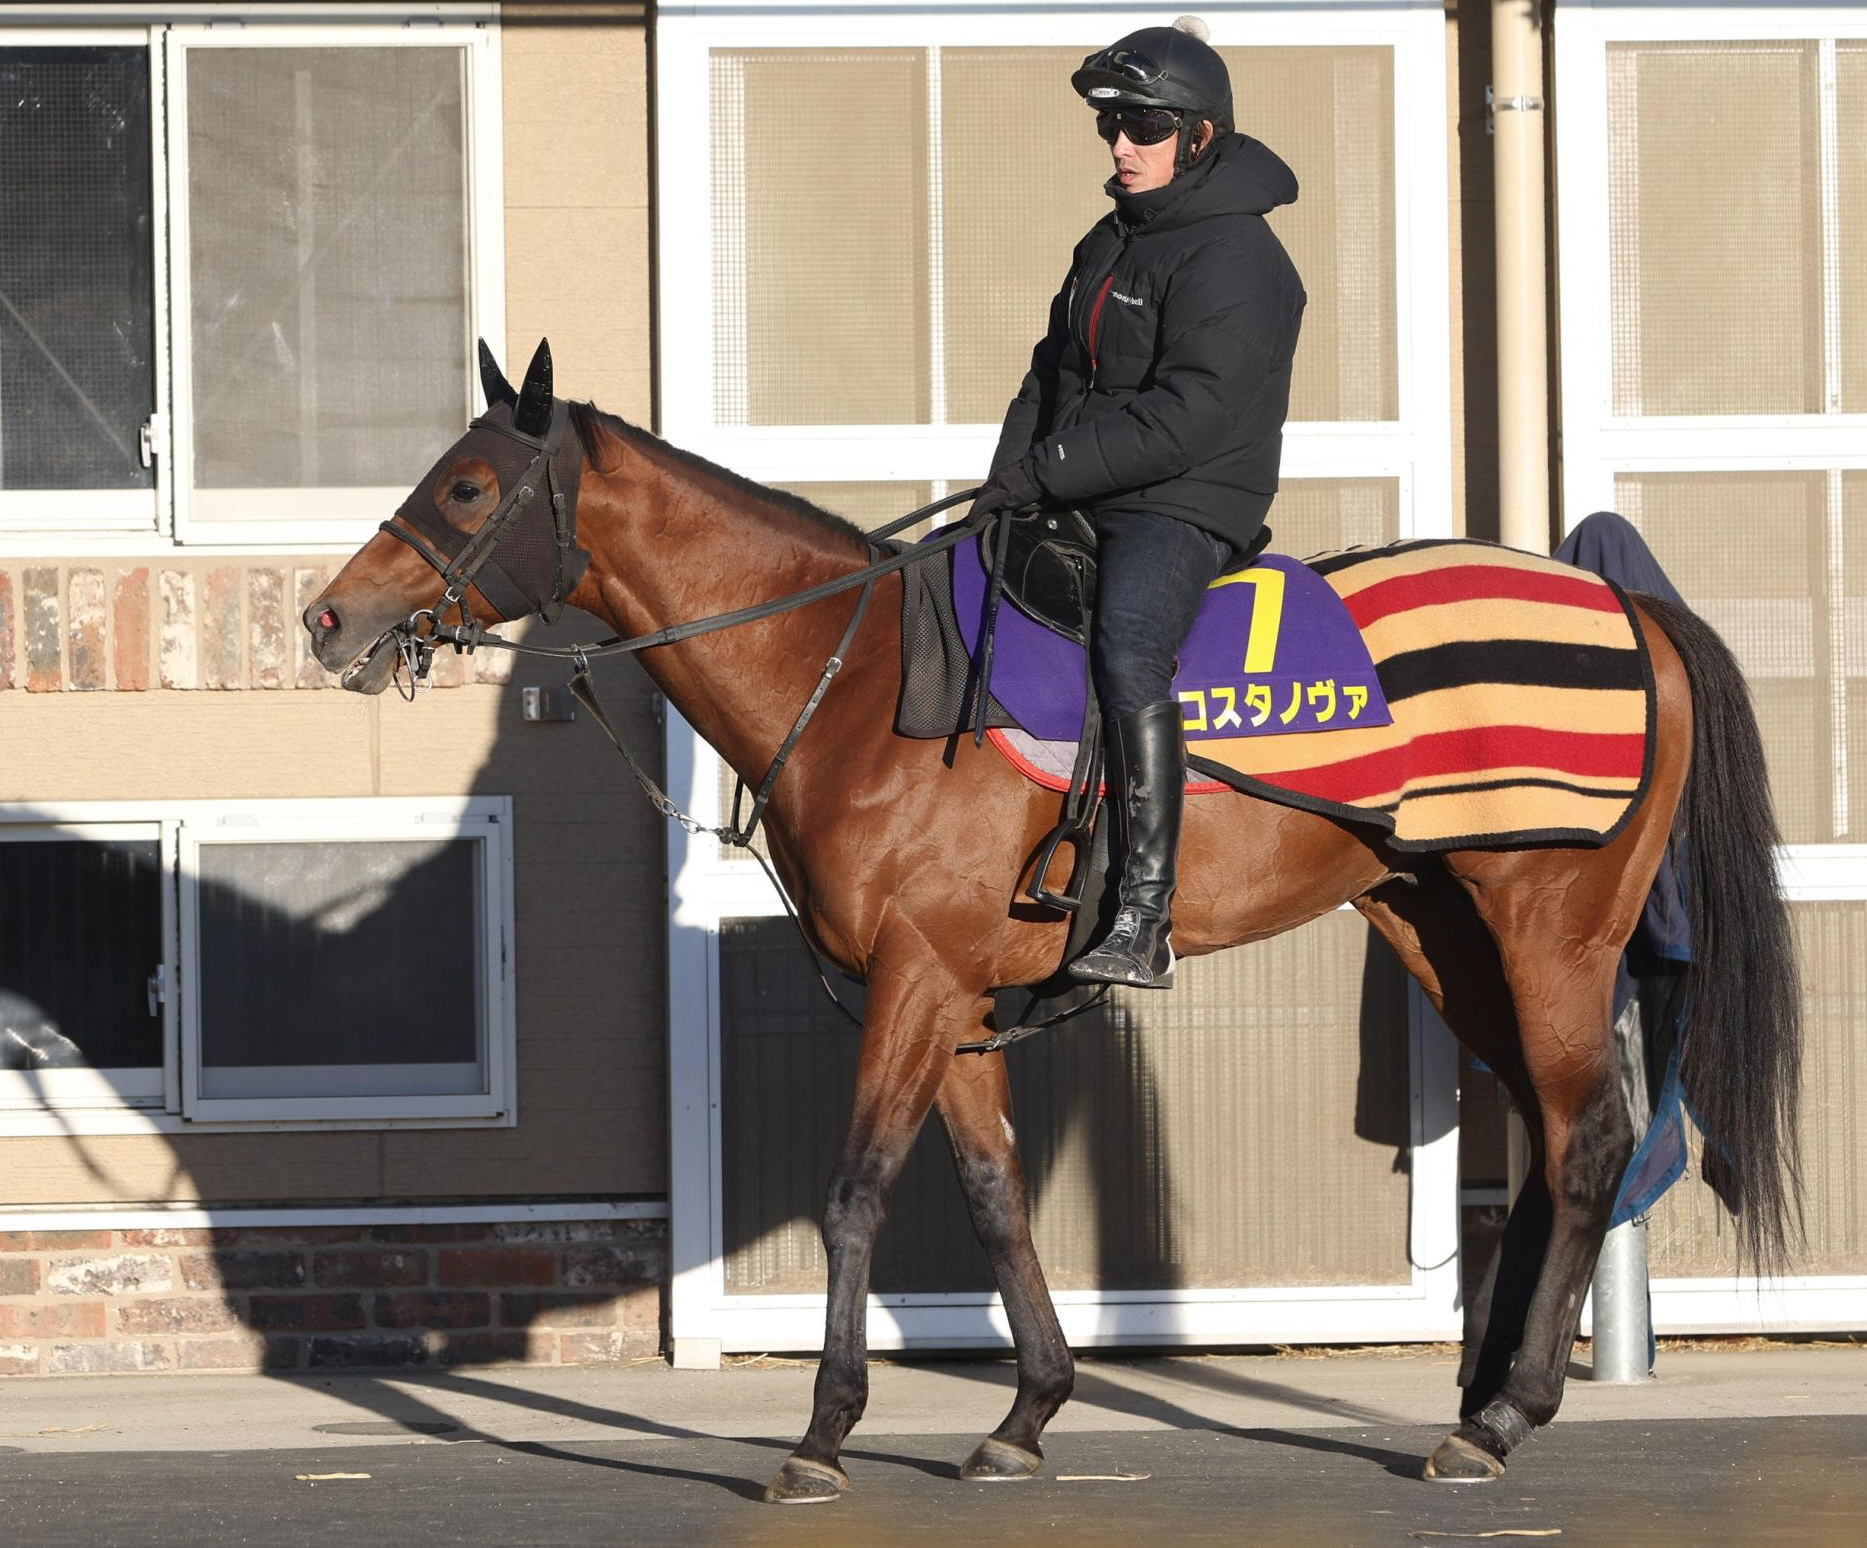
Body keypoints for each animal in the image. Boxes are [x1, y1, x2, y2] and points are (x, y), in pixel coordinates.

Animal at [302, 341, 1792, 1501]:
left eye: (467, 484)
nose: (328, 617)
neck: (859, 680)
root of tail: (1630, 608)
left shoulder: (912, 983)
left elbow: (856, 1190)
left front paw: (823, 1434)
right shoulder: (950, 997)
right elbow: (992, 1194)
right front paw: (1026, 1413)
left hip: (1550, 939)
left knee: (1587, 1140)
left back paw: (1503, 1417)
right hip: (1445, 937)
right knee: (1548, 1142)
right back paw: (1479, 1400)